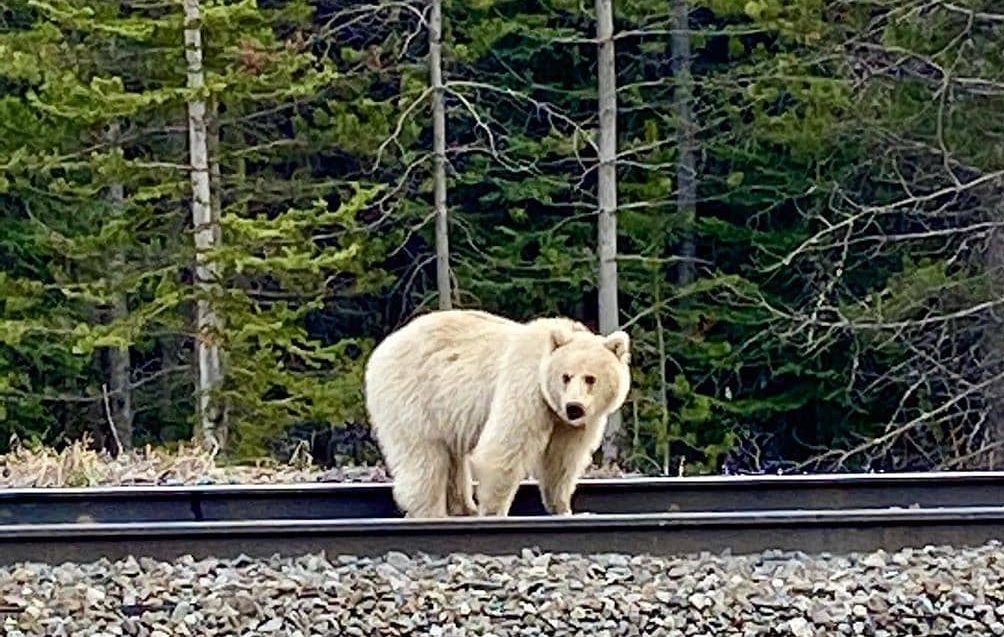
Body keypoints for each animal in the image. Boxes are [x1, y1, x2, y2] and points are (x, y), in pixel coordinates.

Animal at [363, 305, 626, 514]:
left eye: (591, 378)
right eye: (566, 376)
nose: (574, 407)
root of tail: (380, 351)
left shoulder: (572, 423)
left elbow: (562, 459)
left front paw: (562, 507)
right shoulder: (526, 388)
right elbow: (504, 447)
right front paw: (493, 511)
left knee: (451, 458)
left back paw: (463, 508)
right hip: (414, 397)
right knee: (425, 458)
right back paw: (433, 512)